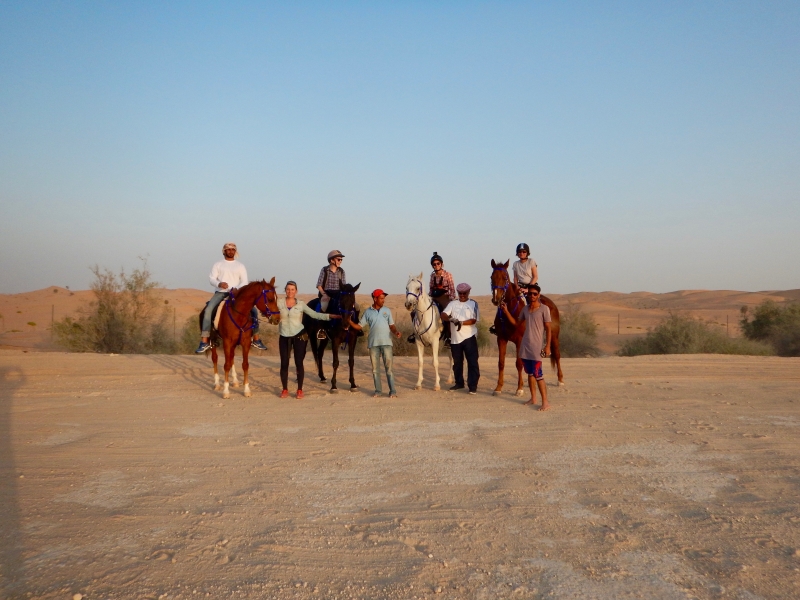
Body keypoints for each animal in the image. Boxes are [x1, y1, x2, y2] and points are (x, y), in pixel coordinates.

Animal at [488, 256, 564, 394]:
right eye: (492, 277)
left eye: (505, 277)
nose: (496, 299)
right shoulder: (501, 339)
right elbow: (501, 363)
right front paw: (498, 388)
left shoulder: (519, 340)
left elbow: (519, 363)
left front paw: (519, 389)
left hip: (554, 336)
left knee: (557, 354)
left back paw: (560, 380)